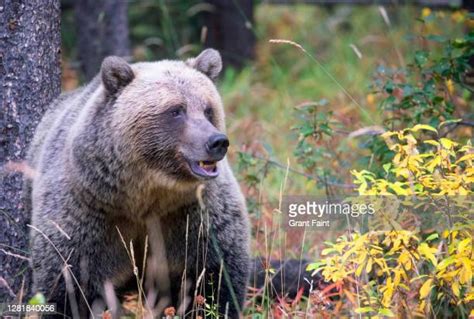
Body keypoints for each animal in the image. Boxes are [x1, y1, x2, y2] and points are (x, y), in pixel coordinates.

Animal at [25, 48, 250, 318]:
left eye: (208, 109)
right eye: (176, 110)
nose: (217, 142)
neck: (145, 194)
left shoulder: (194, 216)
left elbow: (214, 277)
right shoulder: (87, 213)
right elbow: (67, 281)